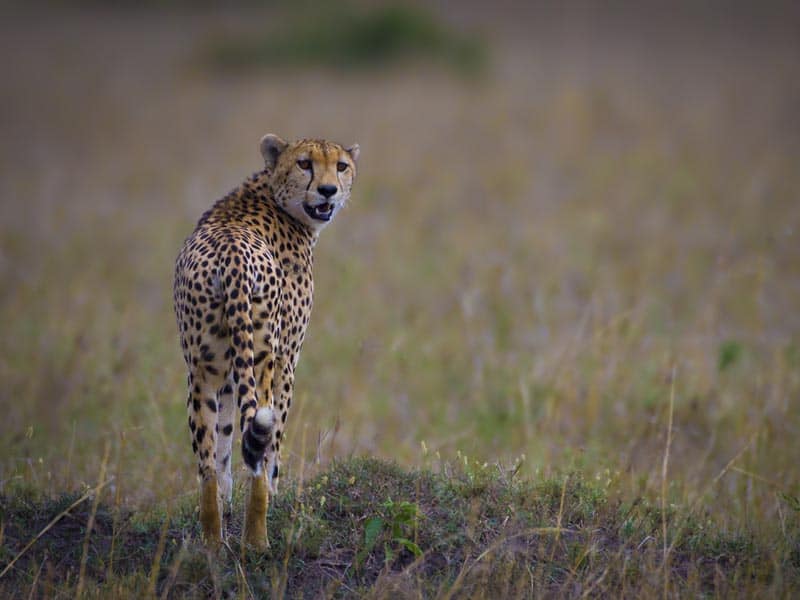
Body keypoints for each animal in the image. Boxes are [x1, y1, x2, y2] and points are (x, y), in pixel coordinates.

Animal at [177, 135, 360, 548]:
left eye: (341, 166)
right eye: (305, 163)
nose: (328, 190)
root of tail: (230, 255)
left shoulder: (226, 371)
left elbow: (225, 446)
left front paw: (227, 505)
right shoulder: (287, 360)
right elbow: (272, 444)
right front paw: (275, 499)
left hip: (202, 370)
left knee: (207, 461)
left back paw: (211, 543)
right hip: (263, 361)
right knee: (261, 444)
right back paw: (257, 539)